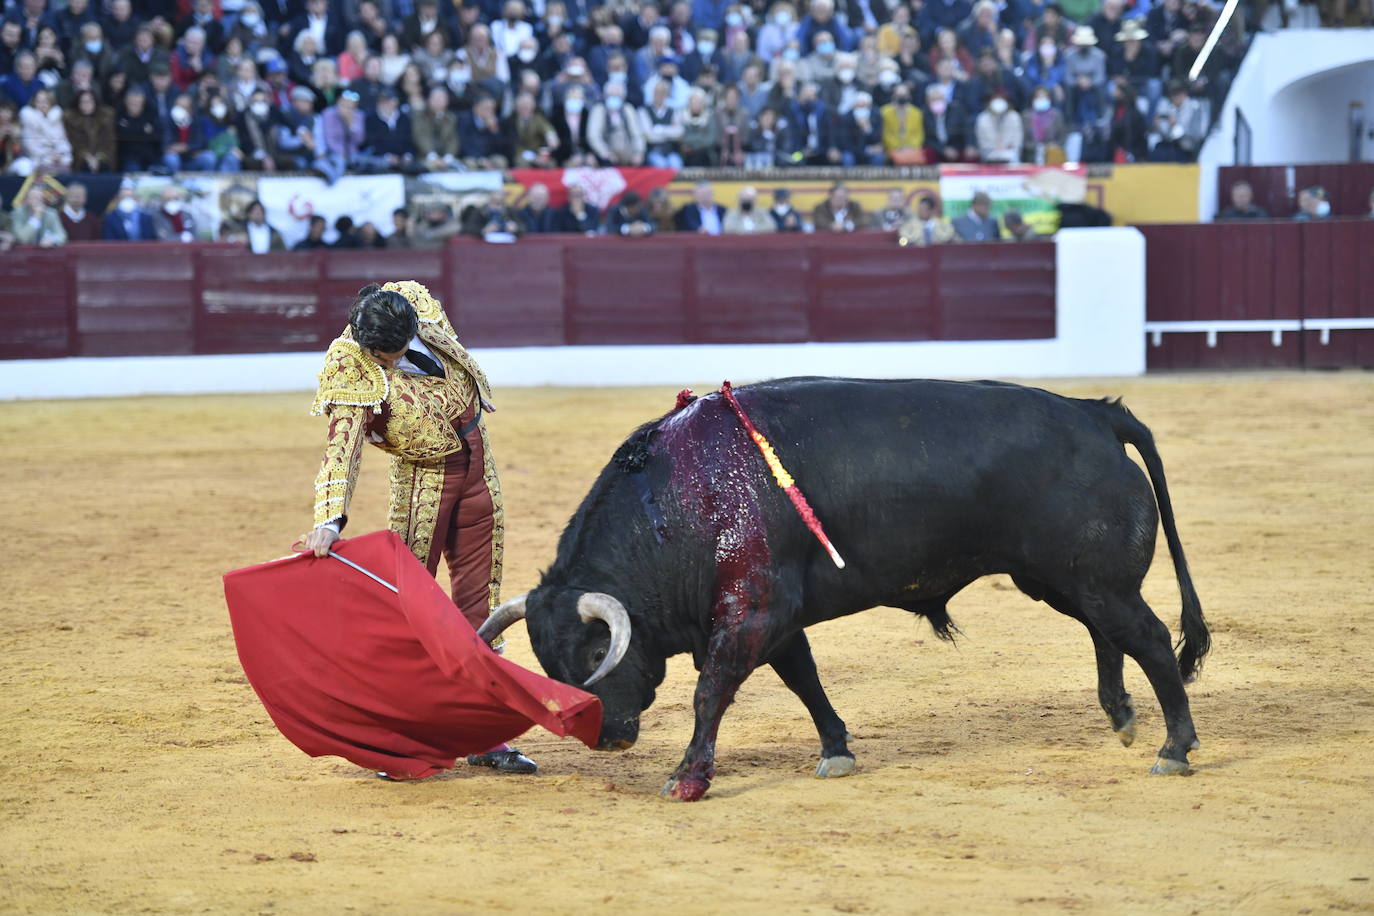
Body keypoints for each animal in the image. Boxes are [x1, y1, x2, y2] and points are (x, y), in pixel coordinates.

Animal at [478, 376, 1209, 796]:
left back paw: (1174, 748)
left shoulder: (750, 612)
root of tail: (1095, 414)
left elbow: (711, 691)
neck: (680, 502)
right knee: (1106, 632)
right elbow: (803, 678)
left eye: (594, 655)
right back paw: (1122, 717)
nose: (606, 737)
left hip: (1095, 579)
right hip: (1065, 578)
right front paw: (836, 751)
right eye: (548, 665)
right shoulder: (771, 618)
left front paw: (687, 779)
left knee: (1146, 636)